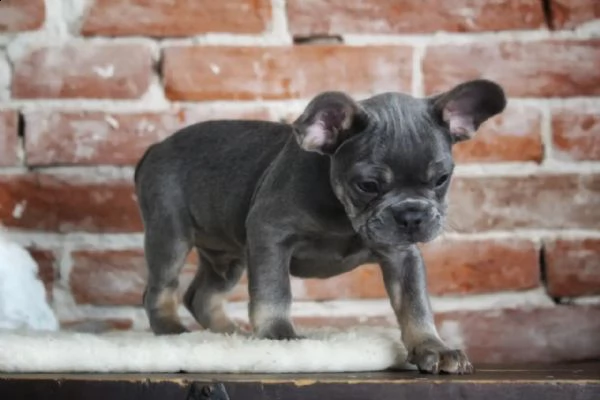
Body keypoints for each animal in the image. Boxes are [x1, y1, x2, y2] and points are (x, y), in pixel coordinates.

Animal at [134, 79, 504, 376]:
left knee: (203, 295)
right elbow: (274, 292)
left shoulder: (402, 257)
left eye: (441, 179)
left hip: (228, 257)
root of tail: (153, 149)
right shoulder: (270, 235)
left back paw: (230, 333)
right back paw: (172, 330)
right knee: (160, 288)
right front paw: (279, 337)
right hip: (170, 234)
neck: (343, 213)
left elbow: (415, 304)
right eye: (368, 185)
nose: (412, 216)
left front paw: (432, 347)